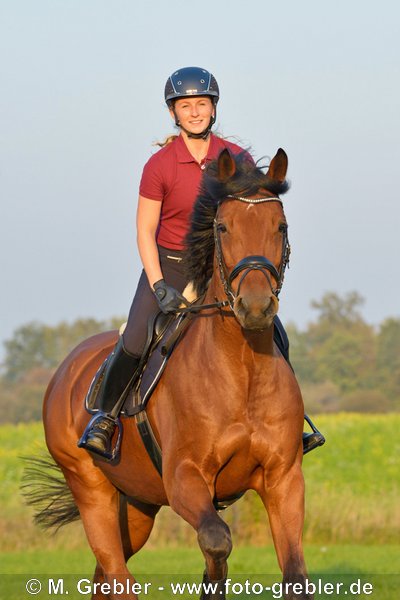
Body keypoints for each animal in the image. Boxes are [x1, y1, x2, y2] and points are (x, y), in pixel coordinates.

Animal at [30, 146, 312, 600]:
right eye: (223, 226)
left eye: (280, 225)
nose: (254, 307)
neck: (242, 369)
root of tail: (64, 373)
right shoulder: (185, 479)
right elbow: (217, 541)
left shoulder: (284, 479)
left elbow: (293, 574)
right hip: (92, 490)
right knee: (117, 574)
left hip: (138, 504)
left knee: (104, 575)